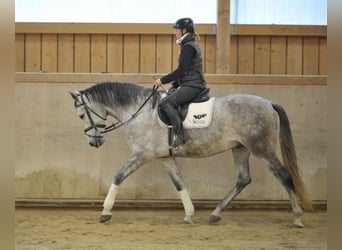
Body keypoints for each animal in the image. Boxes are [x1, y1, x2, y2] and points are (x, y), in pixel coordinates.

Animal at [70, 81, 312, 228]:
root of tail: (269, 103)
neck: (138, 110)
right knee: (243, 179)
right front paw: (189, 213)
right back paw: (215, 213)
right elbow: (179, 184)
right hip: (240, 149)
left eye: (81, 115)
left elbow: (118, 176)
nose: (94, 141)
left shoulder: (141, 155)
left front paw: (105, 212)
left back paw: (298, 217)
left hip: (262, 149)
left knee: (285, 177)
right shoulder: (165, 158)